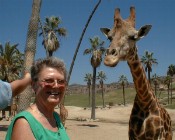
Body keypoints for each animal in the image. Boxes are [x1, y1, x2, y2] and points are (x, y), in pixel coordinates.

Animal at [100, 6, 173, 140]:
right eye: (109, 37)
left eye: (133, 37)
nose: (109, 59)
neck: (145, 101)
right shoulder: (132, 136)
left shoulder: (157, 137)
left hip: (169, 135)